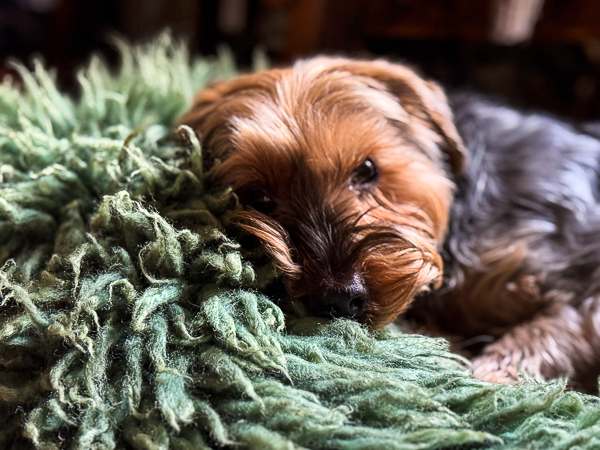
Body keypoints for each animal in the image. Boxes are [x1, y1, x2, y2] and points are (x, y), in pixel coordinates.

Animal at [179, 57, 600, 390]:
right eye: (260, 199)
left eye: (367, 169)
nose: (341, 298)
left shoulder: (579, 281)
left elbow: (545, 332)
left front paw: (487, 376)